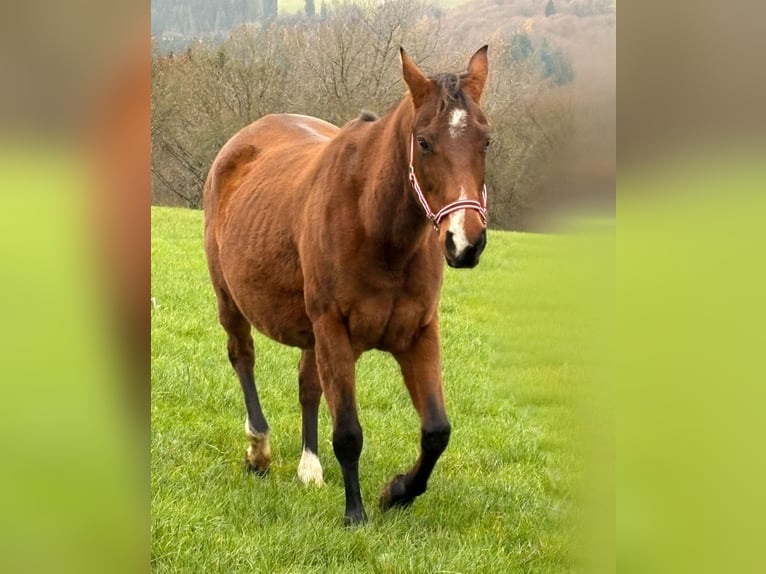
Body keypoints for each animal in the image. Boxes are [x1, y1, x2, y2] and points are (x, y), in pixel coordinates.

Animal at [203, 46, 490, 525]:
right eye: (424, 142)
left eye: (486, 140)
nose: (465, 241)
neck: (379, 230)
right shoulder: (333, 330)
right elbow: (349, 433)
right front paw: (355, 513)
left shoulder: (418, 333)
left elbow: (436, 431)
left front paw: (397, 492)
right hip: (231, 302)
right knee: (242, 357)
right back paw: (258, 450)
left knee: (308, 385)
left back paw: (309, 467)